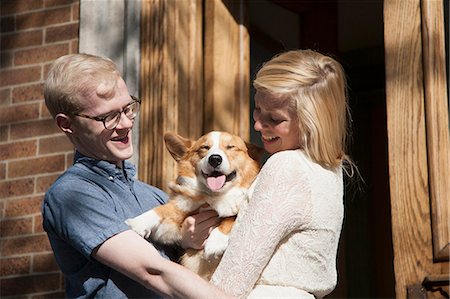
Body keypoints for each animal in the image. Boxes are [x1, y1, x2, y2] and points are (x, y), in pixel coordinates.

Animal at [125, 132, 260, 280]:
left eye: (230, 147)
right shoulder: (183, 206)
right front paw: (138, 222)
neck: (214, 196)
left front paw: (216, 242)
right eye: (204, 148)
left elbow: (230, 218)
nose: (214, 159)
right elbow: (162, 210)